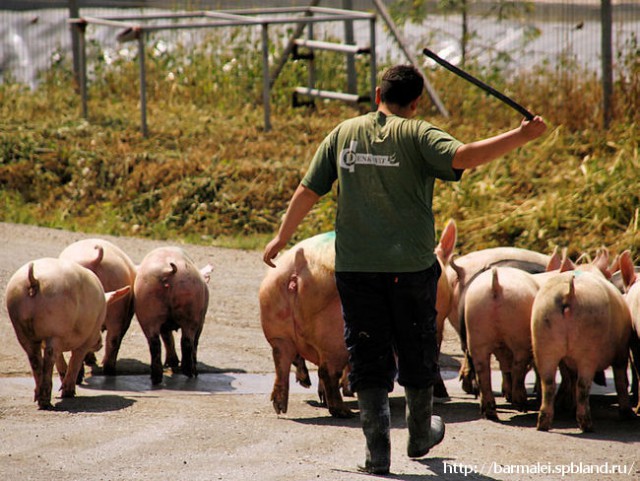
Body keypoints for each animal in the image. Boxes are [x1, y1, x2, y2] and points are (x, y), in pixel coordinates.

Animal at [5, 258, 129, 408]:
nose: (99, 344)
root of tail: (34, 281)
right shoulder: (87, 338)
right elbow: (75, 360)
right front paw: (69, 392)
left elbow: (61, 359)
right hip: (55, 326)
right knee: (50, 355)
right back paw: (48, 400)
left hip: (21, 329)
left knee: (34, 357)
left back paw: (40, 399)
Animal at [133, 246, 211, 384]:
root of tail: (168, 271)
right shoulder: (201, 320)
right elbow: (194, 341)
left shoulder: (164, 324)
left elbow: (167, 338)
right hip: (191, 311)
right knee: (187, 341)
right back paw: (190, 372)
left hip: (147, 309)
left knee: (155, 343)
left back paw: (156, 378)